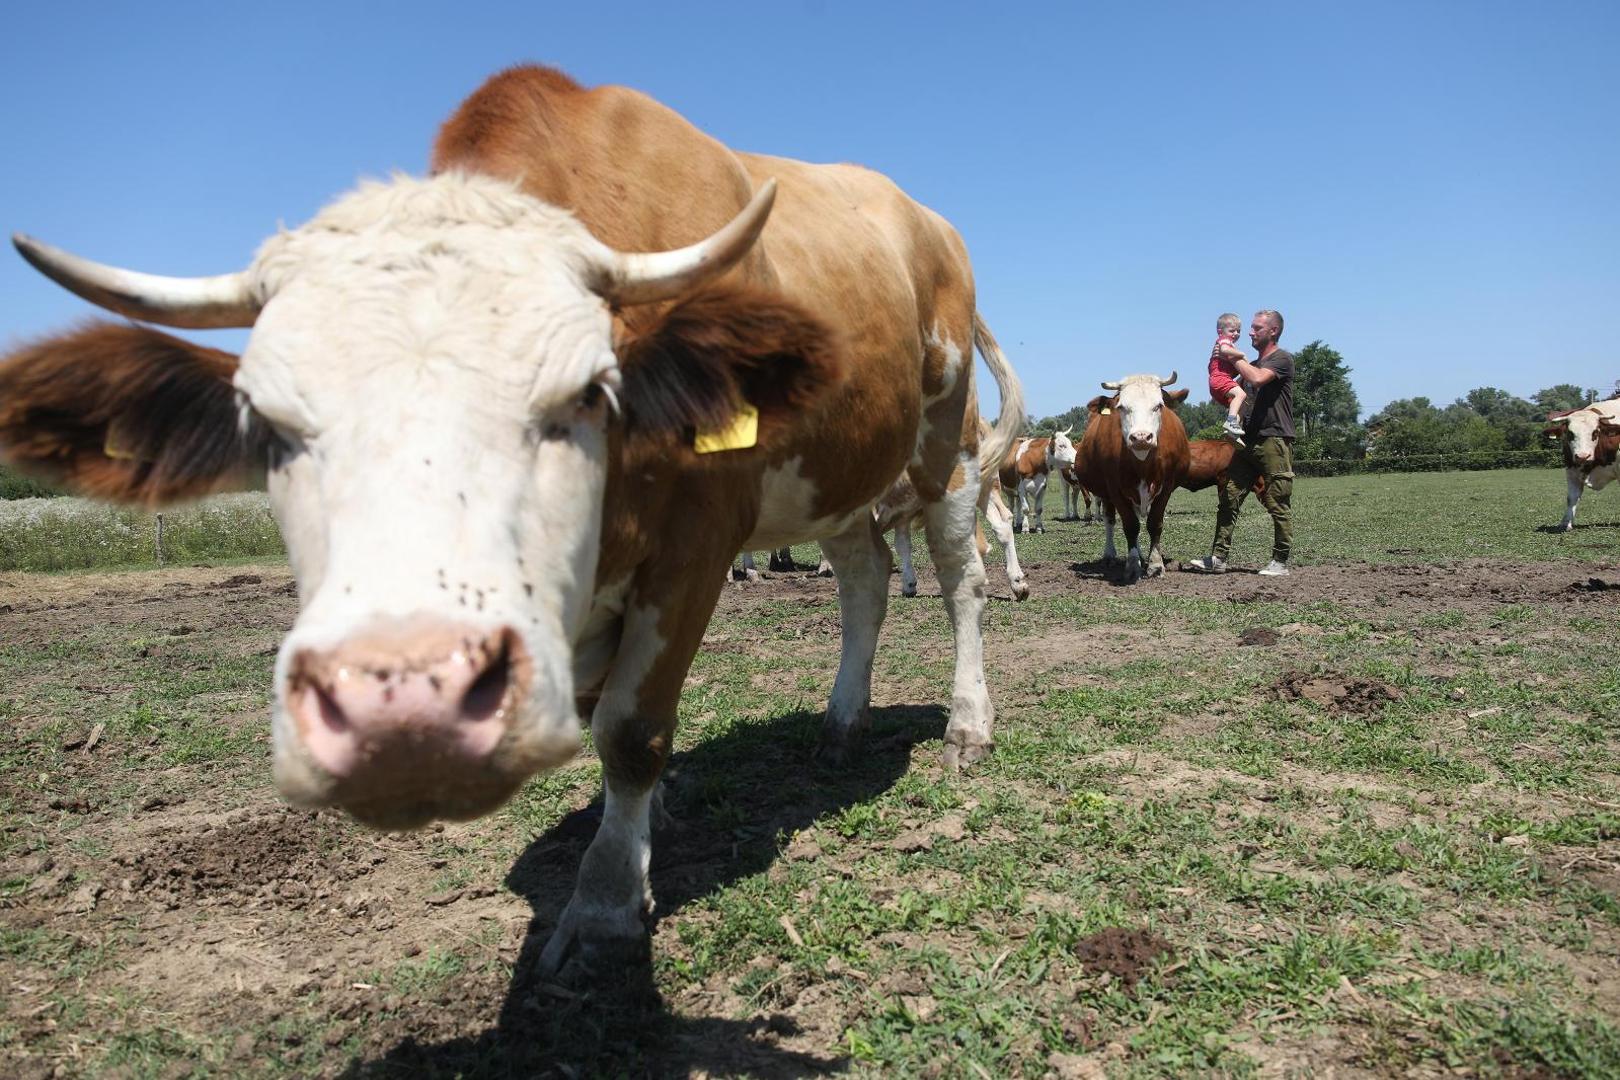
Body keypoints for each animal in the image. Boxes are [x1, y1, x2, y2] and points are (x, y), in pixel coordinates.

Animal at [0, 65, 1023, 977]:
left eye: (587, 393)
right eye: (265, 421)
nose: (403, 709)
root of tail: (922, 217)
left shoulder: (695, 547)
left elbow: (632, 730)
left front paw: (607, 900)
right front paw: (649, 831)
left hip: (949, 443)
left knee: (961, 579)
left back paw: (968, 724)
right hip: (837, 477)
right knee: (865, 580)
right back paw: (842, 719)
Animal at [1075, 378, 1192, 586]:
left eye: (1158, 405)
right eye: (1121, 407)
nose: (1141, 437)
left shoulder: (1166, 487)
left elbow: (1154, 524)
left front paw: (1155, 564)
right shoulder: (1114, 489)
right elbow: (1130, 526)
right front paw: (1132, 566)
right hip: (1107, 494)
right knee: (1110, 520)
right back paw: (1111, 555)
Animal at [1542, 401, 1620, 531]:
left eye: (1595, 432)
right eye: (1570, 433)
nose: (1583, 456)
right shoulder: (1571, 471)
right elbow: (1572, 498)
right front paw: (1566, 523)